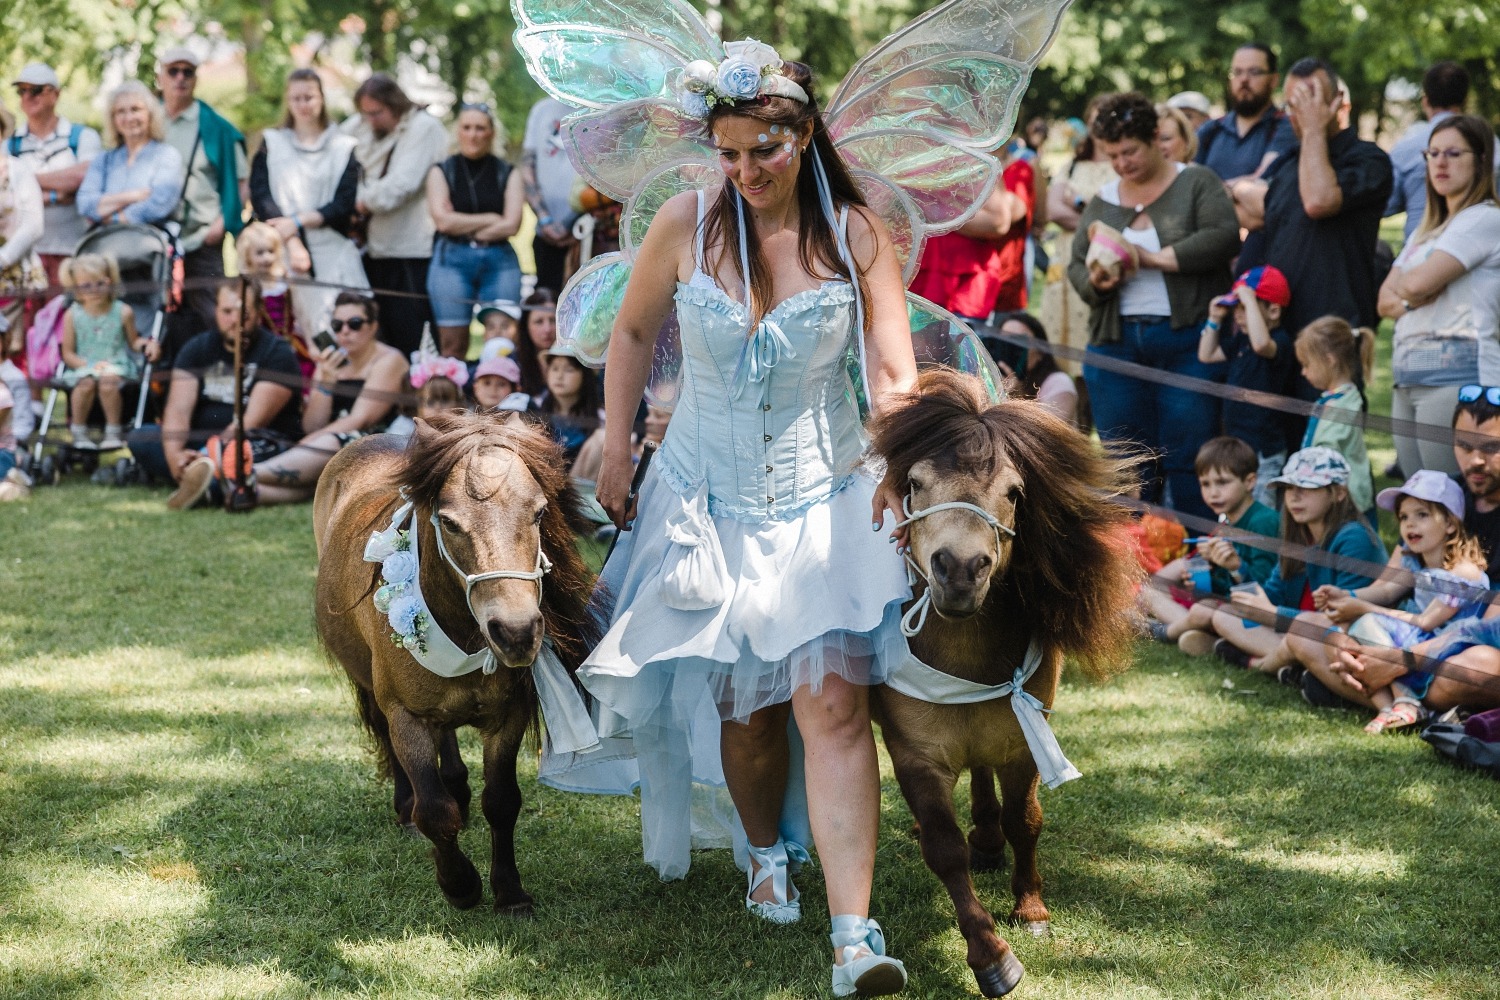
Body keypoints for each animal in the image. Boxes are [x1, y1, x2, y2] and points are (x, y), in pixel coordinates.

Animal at [312, 407, 597, 917]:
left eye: (540, 512)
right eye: (448, 522)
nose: (516, 631)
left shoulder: (508, 717)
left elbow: (502, 802)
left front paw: (509, 892)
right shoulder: (406, 716)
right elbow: (433, 810)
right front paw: (460, 884)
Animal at [870, 371, 1134, 995]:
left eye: (1015, 492)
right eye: (913, 483)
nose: (961, 569)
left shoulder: (1021, 741)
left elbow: (1026, 820)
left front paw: (1030, 909)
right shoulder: (916, 755)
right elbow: (945, 849)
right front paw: (990, 955)